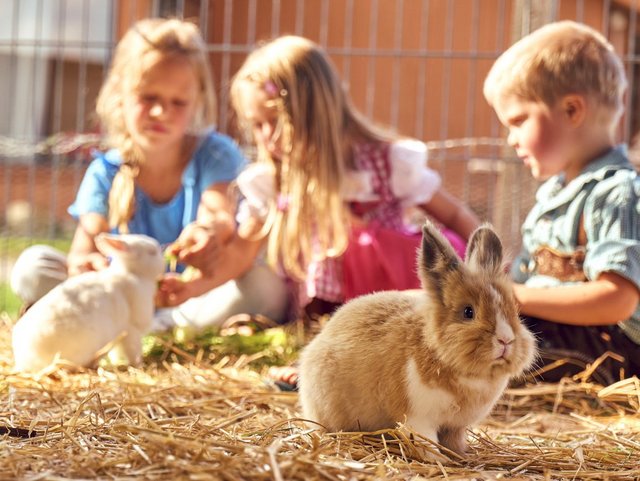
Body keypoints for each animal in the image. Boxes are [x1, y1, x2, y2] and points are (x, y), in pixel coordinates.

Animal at [14, 232, 168, 372]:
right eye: (152, 252)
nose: (163, 260)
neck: (132, 274)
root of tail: (25, 361)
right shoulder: (131, 332)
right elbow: (133, 352)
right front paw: (139, 365)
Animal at [298, 220, 536, 454]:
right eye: (468, 312)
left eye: (514, 311)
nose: (506, 340)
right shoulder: (418, 419)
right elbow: (427, 442)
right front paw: (439, 459)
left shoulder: (456, 427)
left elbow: (455, 442)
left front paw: (461, 455)